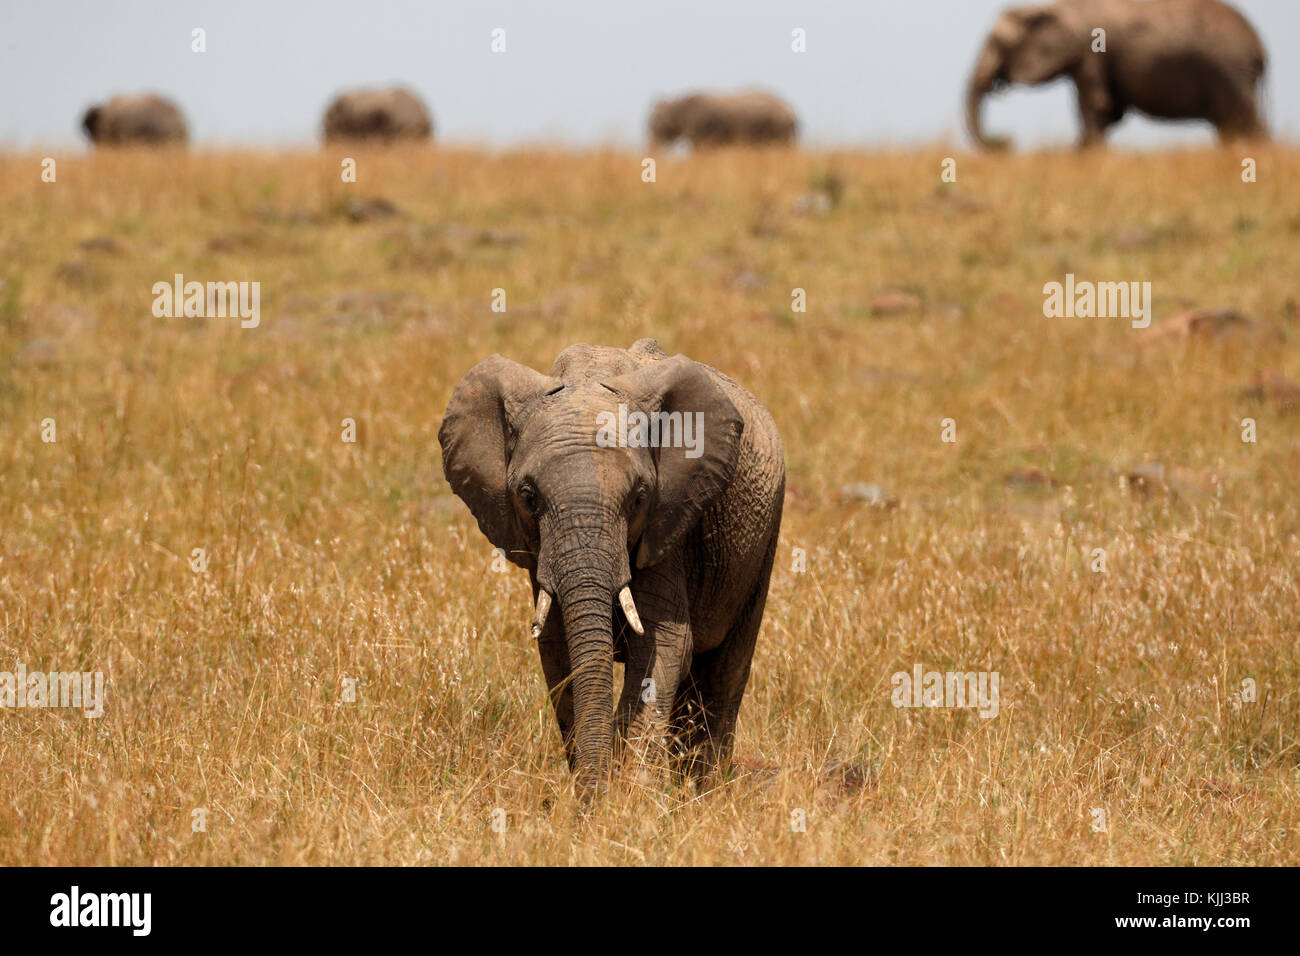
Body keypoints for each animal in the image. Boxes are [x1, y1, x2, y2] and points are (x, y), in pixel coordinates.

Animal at [436, 340, 785, 796]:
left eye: (638, 497)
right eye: (528, 497)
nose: (591, 799)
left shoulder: (670, 524)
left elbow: (664, 643)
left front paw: (625, 791)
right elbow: (558, 648)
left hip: (762, 539)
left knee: (725, 670)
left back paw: (701, 794)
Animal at [972, 0, 1263, 148]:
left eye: (999, 44)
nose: (1005, 140)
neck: (1051, 8)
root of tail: (1259, 48)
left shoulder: (1090, 52)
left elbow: (1097, 107)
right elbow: (1107, 113)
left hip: (1231, 72)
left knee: (1249, 122)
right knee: (1230, 128)